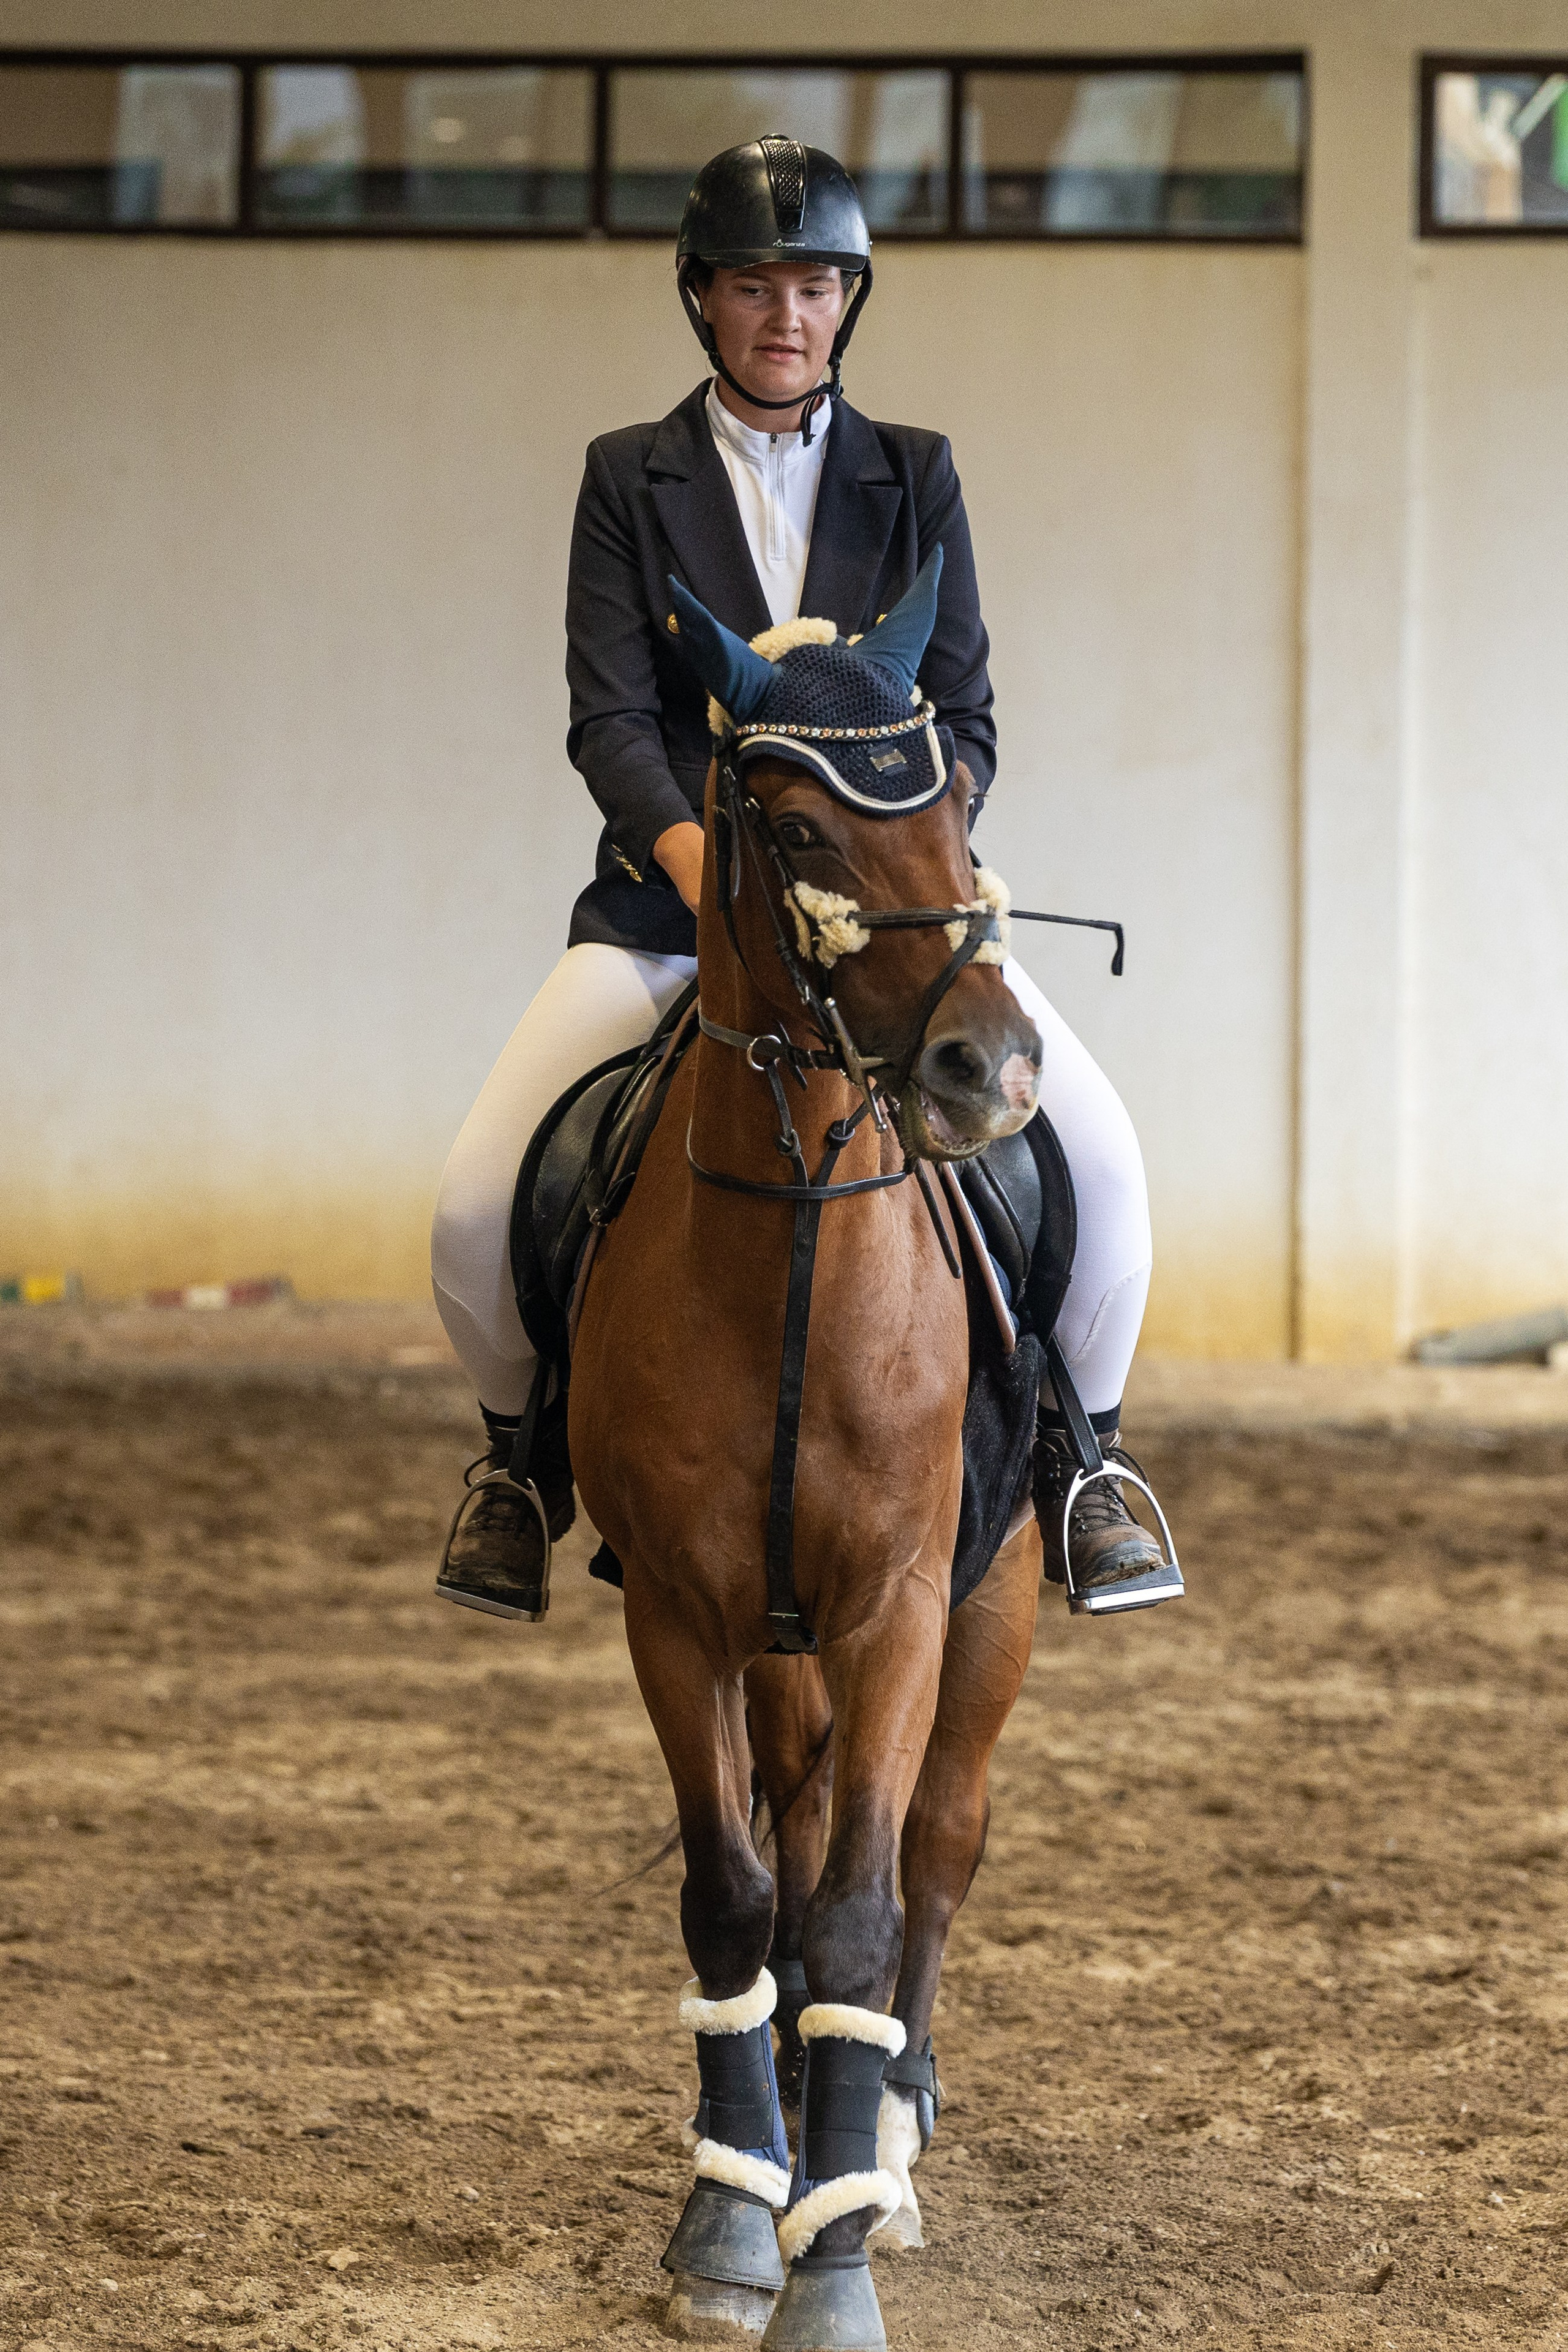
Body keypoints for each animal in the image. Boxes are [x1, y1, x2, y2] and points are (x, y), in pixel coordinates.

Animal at [569, 557, 1047, 2351]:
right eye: (791, 827)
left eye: (956, 799)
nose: (992, 1068)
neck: (787, 1259)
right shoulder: (680, 1611)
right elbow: (734, 1892)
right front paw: (729, 2209)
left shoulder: (901, 1602)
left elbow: (855, 1905)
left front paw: (833, 2252)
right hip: (775, 1648)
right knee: (792, 1818)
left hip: (994, 1603)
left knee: (932, 1842)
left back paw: (884, 2144)